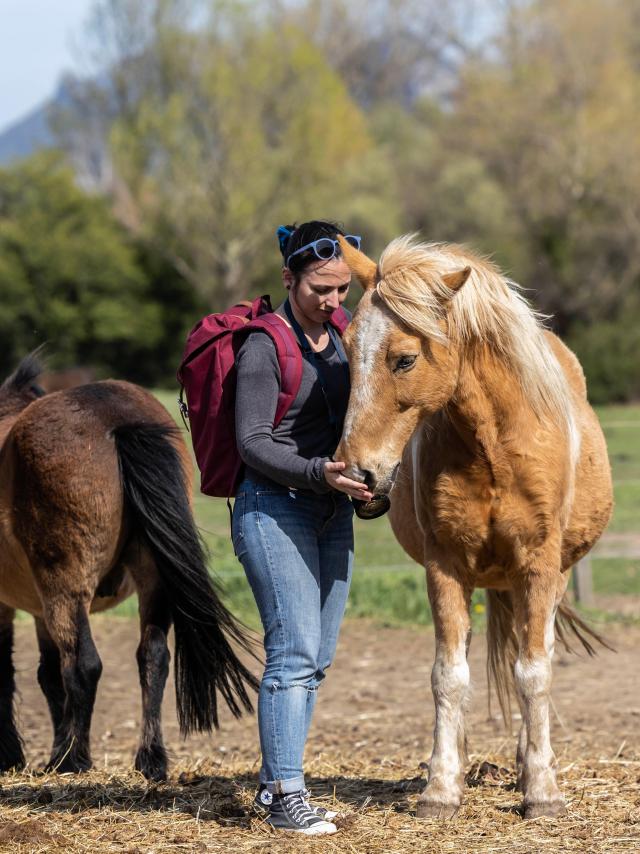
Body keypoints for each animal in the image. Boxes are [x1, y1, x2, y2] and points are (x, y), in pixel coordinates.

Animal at [0, 354, 258, 784]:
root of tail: (117, 418)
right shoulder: (35, 611)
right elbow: (47, 676)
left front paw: (14, 755)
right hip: (151, 581)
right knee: (152, 657)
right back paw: (149, 759)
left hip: (66, 587)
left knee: (83, 665)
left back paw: (72, 758)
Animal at [332, 236, 612, 824]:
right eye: (346, 349)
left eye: (405, 358)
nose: (355, 474)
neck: (495, 448)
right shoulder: (445, 567)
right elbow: (448, 675)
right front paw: (441, 787)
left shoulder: (538, 567)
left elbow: (534, 672)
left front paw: (542, 790)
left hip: (548, 582)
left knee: (535, 656)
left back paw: (530, 763)